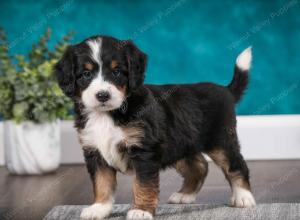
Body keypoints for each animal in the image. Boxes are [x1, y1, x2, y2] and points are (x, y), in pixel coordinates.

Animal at [54, 35, 255, 219]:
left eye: (117, 71)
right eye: (86, 74)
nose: (102, 95)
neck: (108, 114)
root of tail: (225, 90)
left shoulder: (144, 151)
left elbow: (143, 184)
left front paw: (141, 211)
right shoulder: (95, 151)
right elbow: (102, 182)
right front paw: (99, 208)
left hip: (220, 141)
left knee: (236, 165)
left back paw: (243, 197)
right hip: (179, 144)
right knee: (200, 166)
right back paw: (185, 195)